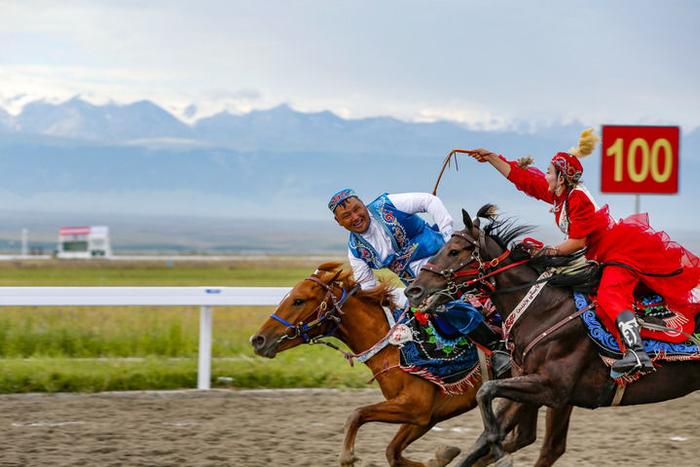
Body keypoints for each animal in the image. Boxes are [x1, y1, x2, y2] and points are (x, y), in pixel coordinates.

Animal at [249, 264, 568, 467]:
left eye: (299, 300)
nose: (258, 340)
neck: (395, 346)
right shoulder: (424, 417)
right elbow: (392, 452)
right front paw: (441, 456)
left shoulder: (416, 406)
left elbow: (357, 414)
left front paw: (348, 456)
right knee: (525, 437)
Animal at [404, 209, 700, 467]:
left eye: (454, 251)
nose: (413, 290)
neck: (543, 312)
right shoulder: (529, 387)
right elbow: (486, 433)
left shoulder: (552, 389)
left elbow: (486, 396)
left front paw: (500, 455)